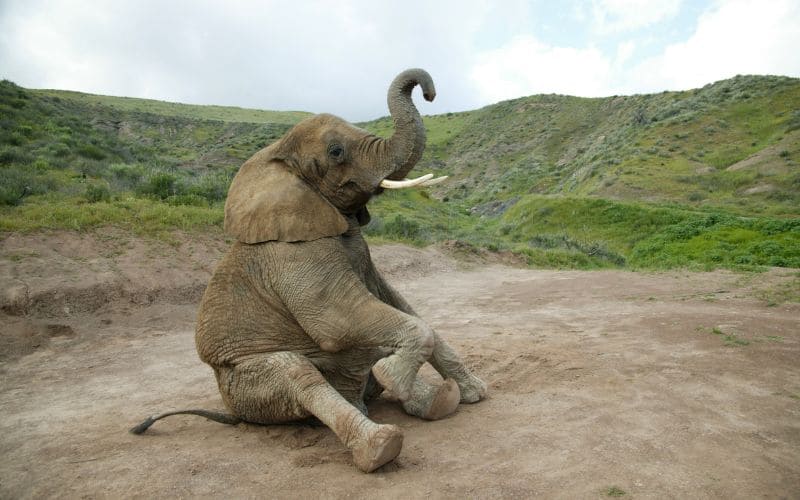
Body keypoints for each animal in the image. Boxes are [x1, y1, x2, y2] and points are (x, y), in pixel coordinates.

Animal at [130, 68, 487, 473]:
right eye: (336, 152)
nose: (429, 92)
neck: (276, 157)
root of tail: (233, 413)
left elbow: (401, 307)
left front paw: (474, 393)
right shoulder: (294, 255)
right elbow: (338, 320)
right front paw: (393, 377)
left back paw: (439, 400)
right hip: (247, 385)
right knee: (298, 374)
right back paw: (381, 445)